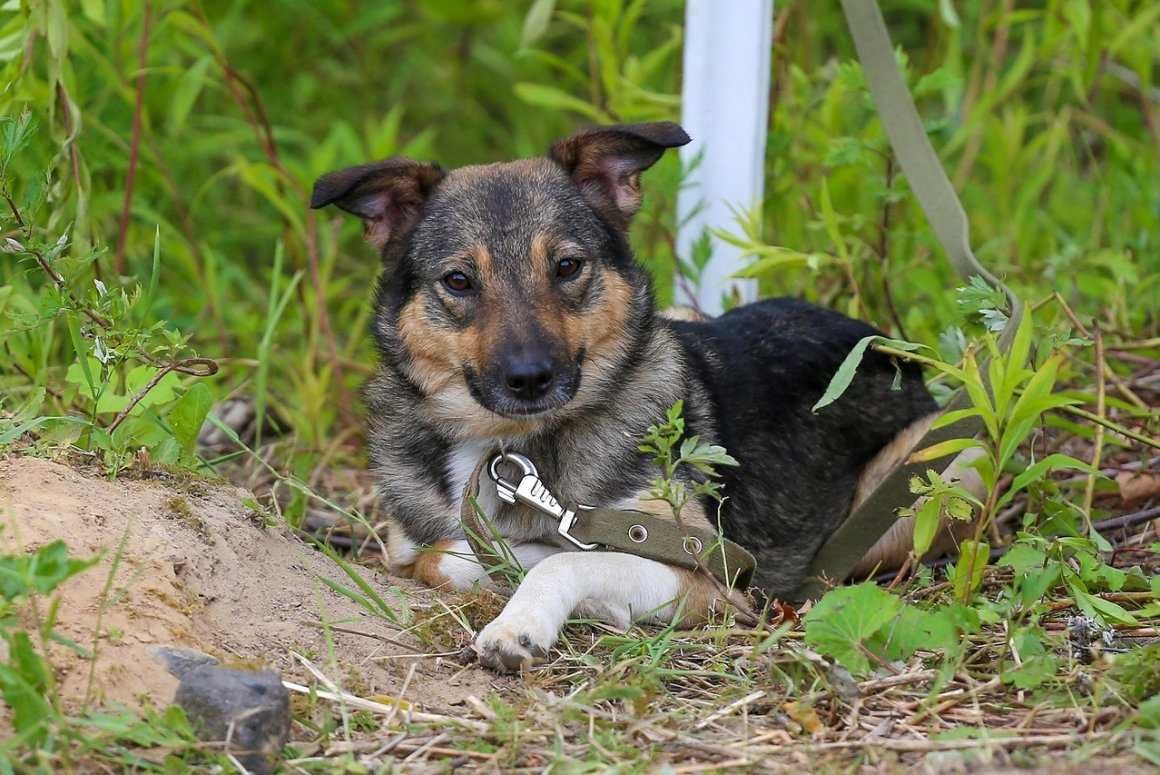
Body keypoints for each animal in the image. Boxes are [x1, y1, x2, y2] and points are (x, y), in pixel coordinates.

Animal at [313, 121, 946, 672]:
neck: (505, 450)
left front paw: (520, 620)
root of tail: (881, 343)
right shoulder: (413, 543)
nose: (530, 378)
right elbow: (448, 556)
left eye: (567, 266)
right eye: (459, 281)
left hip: (919, 486)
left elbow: (563, 561)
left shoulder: (705, 573)